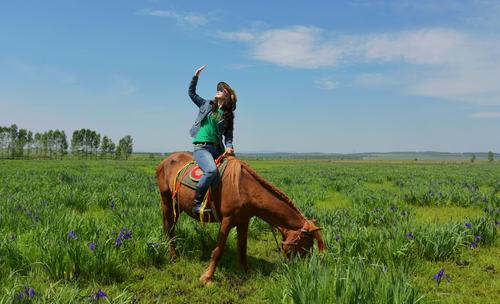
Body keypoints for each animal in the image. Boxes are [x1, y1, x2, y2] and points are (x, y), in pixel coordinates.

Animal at [158, 152, 326, 284]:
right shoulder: (227, 221)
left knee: (171, 227)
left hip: (177, 205)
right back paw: (173, 255)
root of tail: (165, 161)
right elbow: (218, 250)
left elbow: (242, 247)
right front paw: (207, 277)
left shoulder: (244, 221)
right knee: (168, 228)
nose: (302, 270)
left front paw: (247, 272)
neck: (245, 189)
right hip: (166, 201)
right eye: (305, 244)